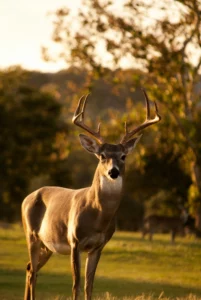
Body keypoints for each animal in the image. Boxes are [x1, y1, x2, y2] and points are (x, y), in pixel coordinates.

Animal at [21, 89, 161, 300]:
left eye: (123, 156)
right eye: (102, 156)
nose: (113, 172)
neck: (98, 217)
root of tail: (26, 198)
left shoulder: (98, 246)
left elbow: (89, 285)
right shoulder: (74, 241)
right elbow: (76, 285)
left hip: (47, 244)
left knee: (30, 269)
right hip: (31, 235)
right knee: (33, 271)